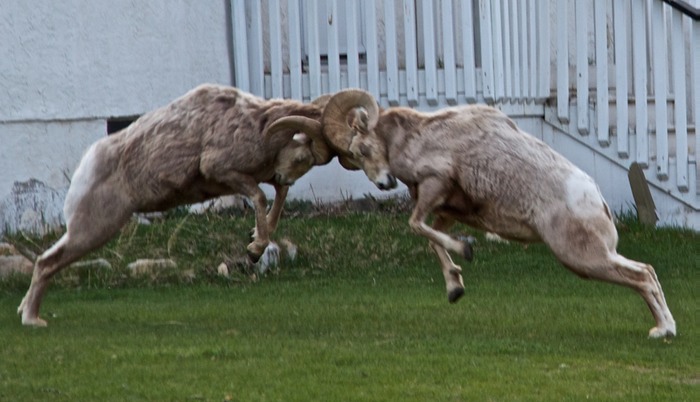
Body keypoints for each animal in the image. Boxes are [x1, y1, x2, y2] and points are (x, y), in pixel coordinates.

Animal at [18, 83, 330, 326]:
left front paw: (255, 238)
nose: (286, 176)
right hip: (93, 229)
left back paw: (25, 311)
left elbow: (278, 193)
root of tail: (87, 164)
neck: (257, 122)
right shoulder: (222, 169)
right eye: (302, 157)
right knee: (46, 262)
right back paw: (33, 320)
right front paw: (254, 250)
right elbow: (261, 197)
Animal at [314, 88, 676, 340]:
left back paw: (662, 331)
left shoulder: (435, 185)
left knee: (641, 276)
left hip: (583, 259)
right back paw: (665, 328)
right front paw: (455, 288)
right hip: (596, 256)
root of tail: (595, 199)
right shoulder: (448, 211)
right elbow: (433, 239)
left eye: (361, 149)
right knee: (647, 272)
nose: (384, 183)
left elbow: (416, 225)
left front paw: (467, 250)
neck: (417, 135)